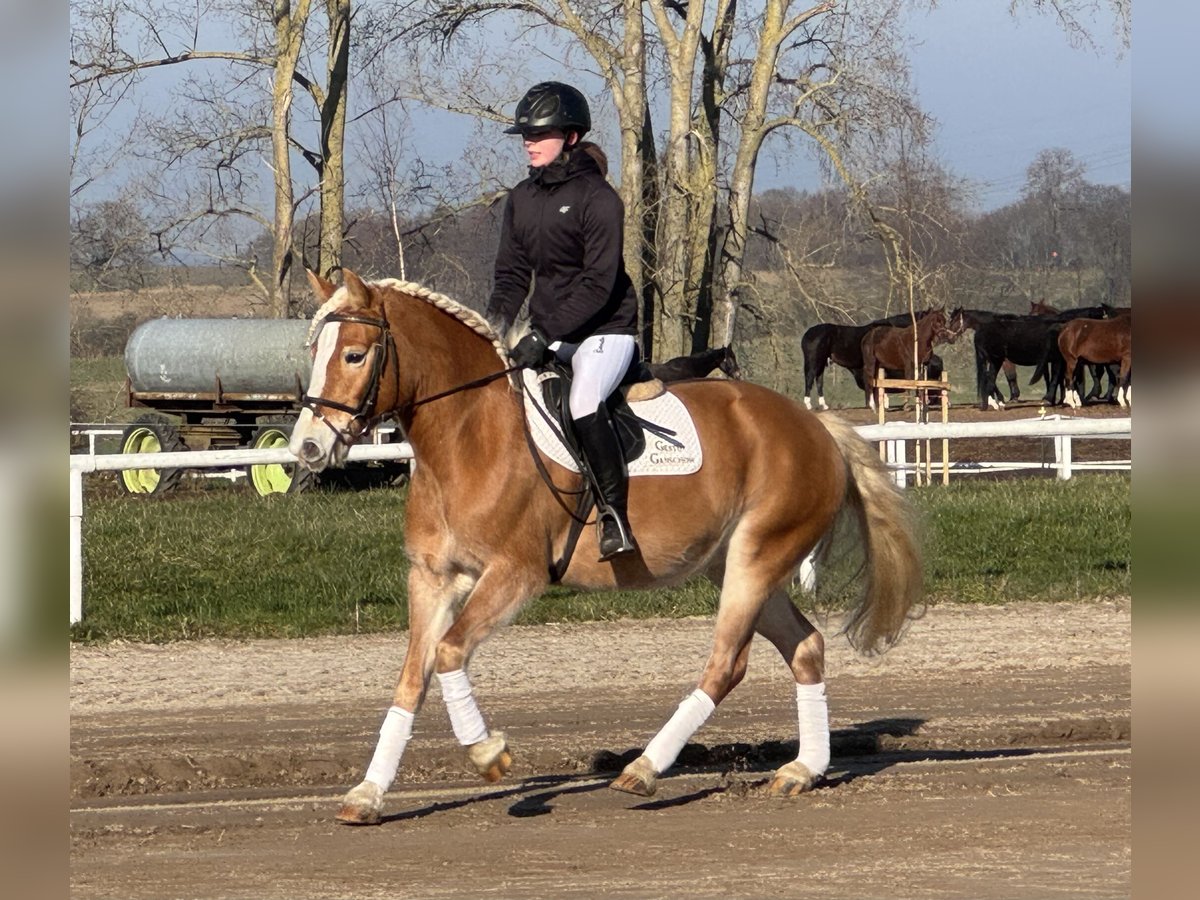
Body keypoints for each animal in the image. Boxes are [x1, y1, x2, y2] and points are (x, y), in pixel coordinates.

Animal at [285, 271, 921, 830]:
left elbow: (448, 653)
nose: (307, 448)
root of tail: (818, 431)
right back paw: (803, 770)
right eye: (315, 351)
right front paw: (367, 794)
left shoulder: (514, 574)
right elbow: (411, 678)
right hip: (737, 567)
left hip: (756, 560)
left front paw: (489, 754)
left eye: (355, 355)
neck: (467, 436)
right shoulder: (434, 578)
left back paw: (644, 769)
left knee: (727, 663)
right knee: (806, 648)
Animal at [806, 309, 936, 408]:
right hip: (814, 362)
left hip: (821, 364)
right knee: (809, 378)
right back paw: (808, 404)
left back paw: (824, 405)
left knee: (819, 381)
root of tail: (807, 334)